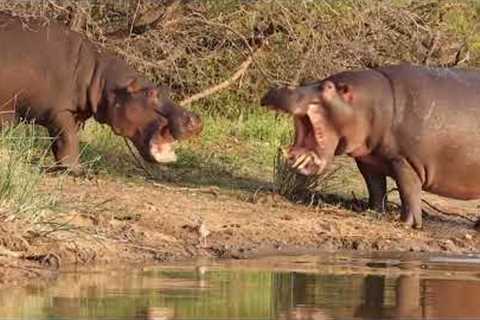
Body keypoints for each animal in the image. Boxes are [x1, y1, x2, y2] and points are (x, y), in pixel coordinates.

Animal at [0, 12, 202, 174]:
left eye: (165, 89)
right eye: (151, 93)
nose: (196, 118)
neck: (99, 79)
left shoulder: (76, 114)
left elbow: (66, 144)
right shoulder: (60, 112)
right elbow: (68, 140)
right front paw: (77, 171)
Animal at [260, 63, 480, 229]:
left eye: (328, 88)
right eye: (314, 81)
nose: (281, 88)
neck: (369, 103)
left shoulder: (404, 161)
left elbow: (408, 193)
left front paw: (406, 224)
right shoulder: (368, 160)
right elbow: (376, 188)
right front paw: (372, 212)